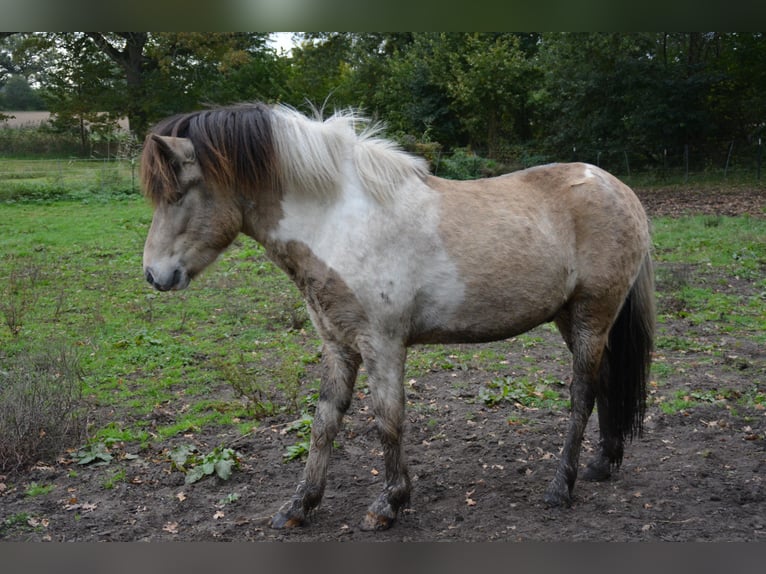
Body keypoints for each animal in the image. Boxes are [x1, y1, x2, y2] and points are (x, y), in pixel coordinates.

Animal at [140, 102, 655, 531]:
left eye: (178, 193)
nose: (154, 274)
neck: (340, 221)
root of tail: (619, 189)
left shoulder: (382, 345)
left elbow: (387, 420)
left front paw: (389, 503)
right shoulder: (338, 345)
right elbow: (324, 422)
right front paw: (300, 505)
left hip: (591, 315)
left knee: (581, 394)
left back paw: (560, 487)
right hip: (573, 319)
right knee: (606, 381)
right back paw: (602, 464)